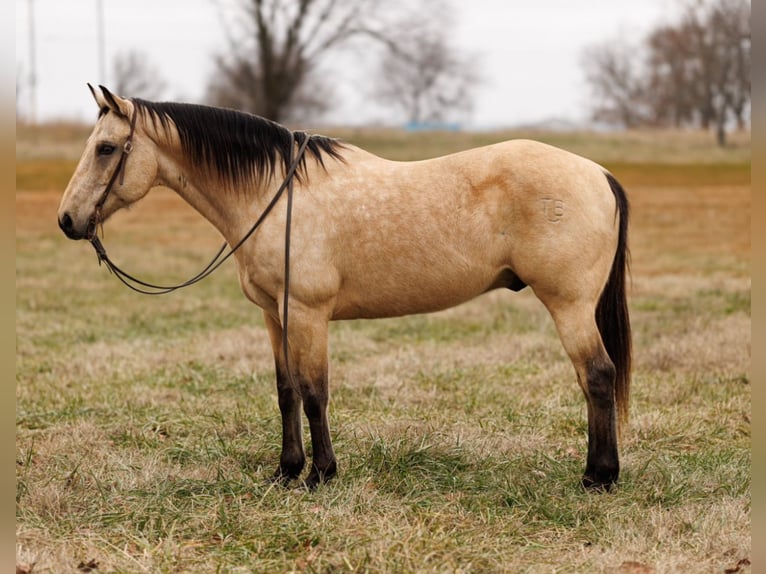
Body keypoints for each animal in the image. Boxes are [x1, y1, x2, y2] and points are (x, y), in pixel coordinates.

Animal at [58, 85, 631, 491]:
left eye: (106, 148)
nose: (67, 221)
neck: (272, 192)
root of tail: (599, 174)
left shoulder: (307, 313)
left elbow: (315, 391)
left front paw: (321, 474)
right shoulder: (274, 314)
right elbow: (286, 390)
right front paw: (286, 471)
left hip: (569, 304)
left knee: (597, 376)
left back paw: (598, 477)